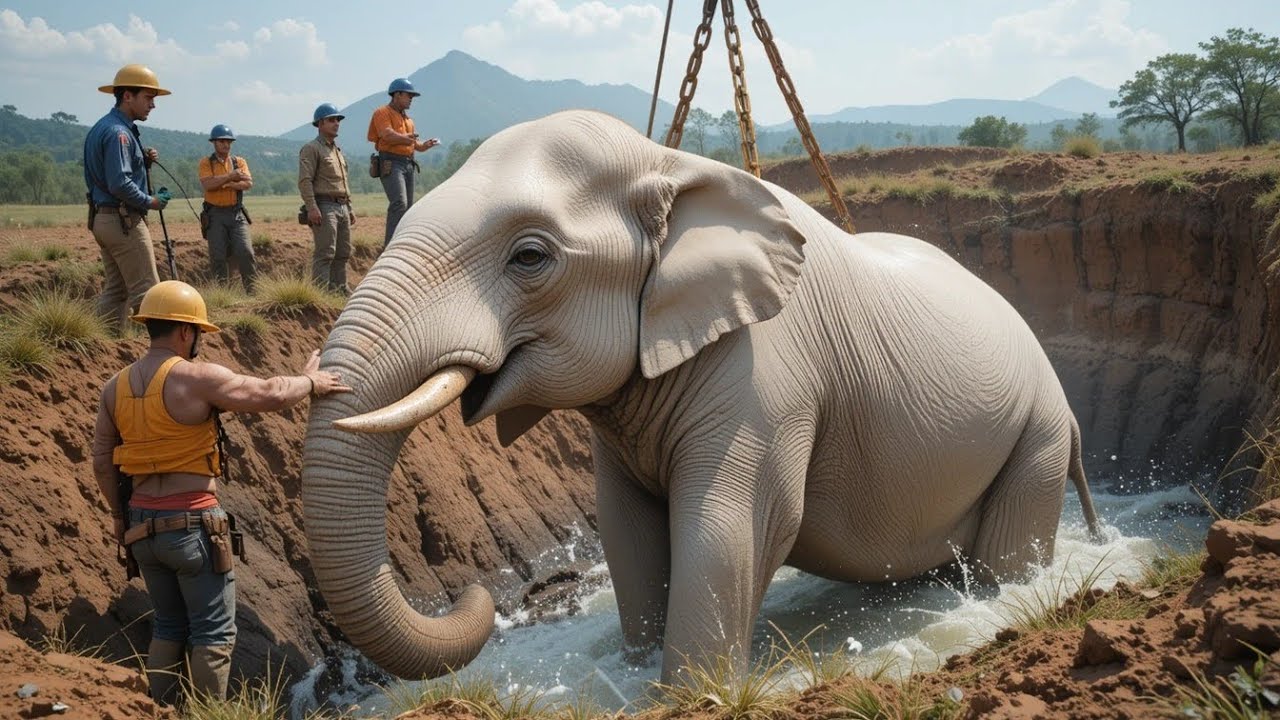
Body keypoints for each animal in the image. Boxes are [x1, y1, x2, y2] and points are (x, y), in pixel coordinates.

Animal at [301, 109, 1100, 685]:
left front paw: (688, 693)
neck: (666, 161)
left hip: (1037, 432)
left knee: (1005, 556)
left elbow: (732, 522)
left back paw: (1006, 597)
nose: (480, 595)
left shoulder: (768, 371)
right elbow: (627, 531)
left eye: (530, 257)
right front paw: (632, 672)